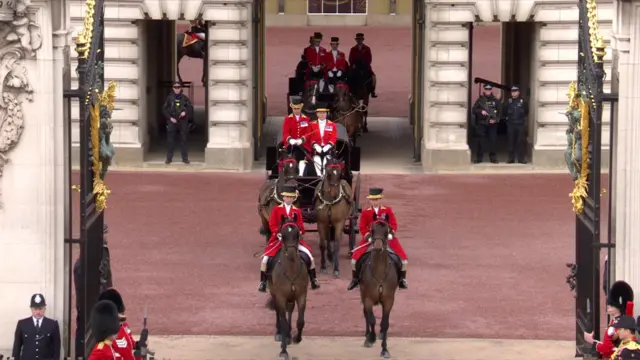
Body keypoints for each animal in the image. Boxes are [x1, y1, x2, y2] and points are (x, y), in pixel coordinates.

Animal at [264, 215, 310, 358]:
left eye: (296, 234)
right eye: (282, 235)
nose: (290, 254)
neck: (291, 270)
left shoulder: (301, 295)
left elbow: (300, 321)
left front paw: (296, 338)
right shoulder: (281, 296)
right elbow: (283, 321)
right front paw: (283, 350)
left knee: (290, 310)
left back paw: (289, 336)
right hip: (274, 293)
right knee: (278, 312)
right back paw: (280, 333)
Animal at [358, 215, 398, 358]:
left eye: (386, 231)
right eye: (372, 229)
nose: (377, 247)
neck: (379, 272)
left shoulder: (389, 300)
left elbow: (385, 323)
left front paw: (384, 349)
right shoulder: (368, 299)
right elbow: (371, 319)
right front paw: (371, 338)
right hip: (362, 292)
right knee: (365, 313)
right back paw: (368, 335)